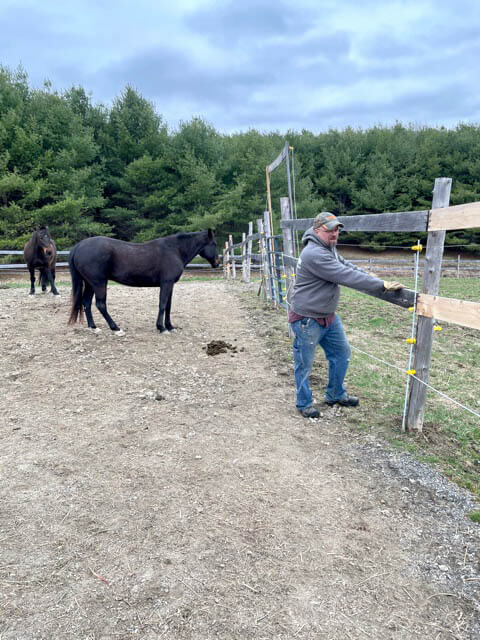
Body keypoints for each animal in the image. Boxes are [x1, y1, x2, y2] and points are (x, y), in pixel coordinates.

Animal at [67, 228, 218, 332]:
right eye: (214, 244)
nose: (217, 263)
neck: (174, 250)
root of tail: (78, 246)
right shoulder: (166, 283)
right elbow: (162, 304)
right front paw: (161, 328)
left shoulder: (170, 285)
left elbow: (168, 306)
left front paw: (170, 326)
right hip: (99, 283)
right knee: (100, 304)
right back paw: (116, 328)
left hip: (90, 284)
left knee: (86, 302)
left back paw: (93, 327)